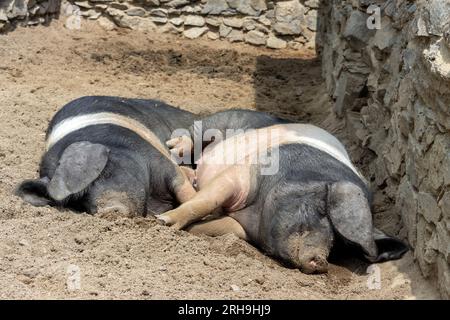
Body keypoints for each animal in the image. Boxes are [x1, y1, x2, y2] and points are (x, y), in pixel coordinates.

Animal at [155, 109, 408, 272]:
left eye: (340, 246)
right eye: (322, 212)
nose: (322, 262)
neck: (257, 212)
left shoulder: (244, 226)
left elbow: (220, 227)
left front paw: (188, 228)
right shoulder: (242, 174)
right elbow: (205, 201)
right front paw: (163, 220)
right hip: (218, 122)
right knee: (193, 134)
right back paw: (174, 149)